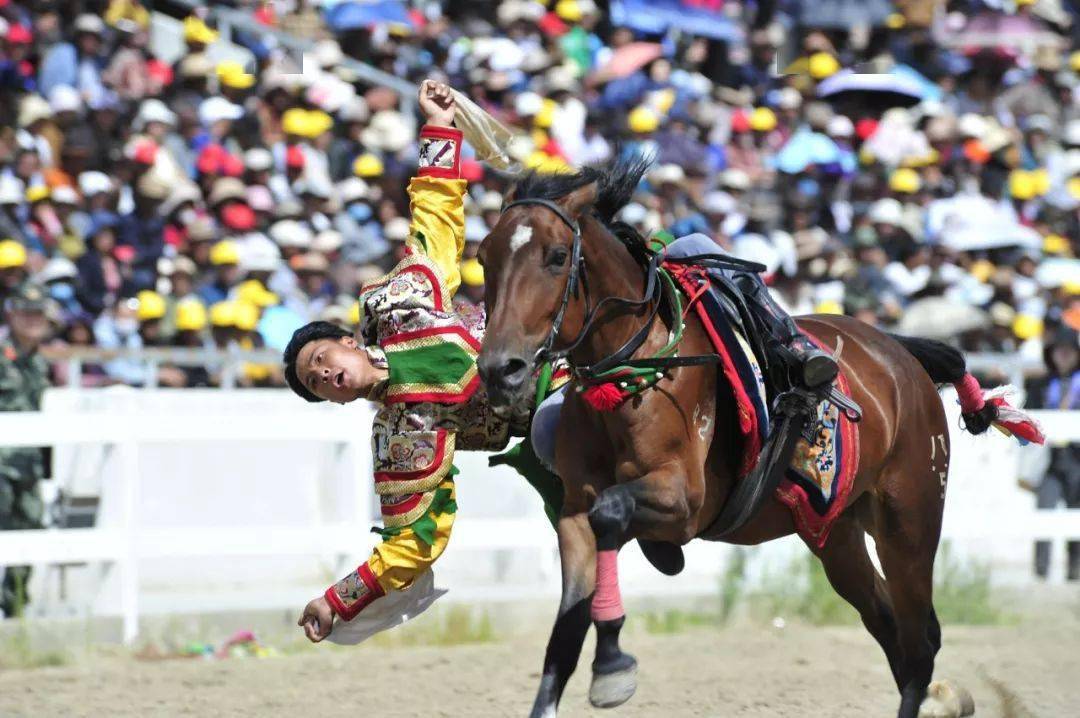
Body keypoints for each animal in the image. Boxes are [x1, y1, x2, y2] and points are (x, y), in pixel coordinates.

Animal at [477, 160, 1032, 716]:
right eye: (484, 257)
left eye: (556, 257)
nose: (500, 368)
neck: (639, 372)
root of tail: (899, 352)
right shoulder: (574, 511)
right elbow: (566, 632)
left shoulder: (683, 500)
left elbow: (612, 511)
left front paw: (612, 662)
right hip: (836, 533)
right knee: (887, 621)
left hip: (910, 520)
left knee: (920, 640)